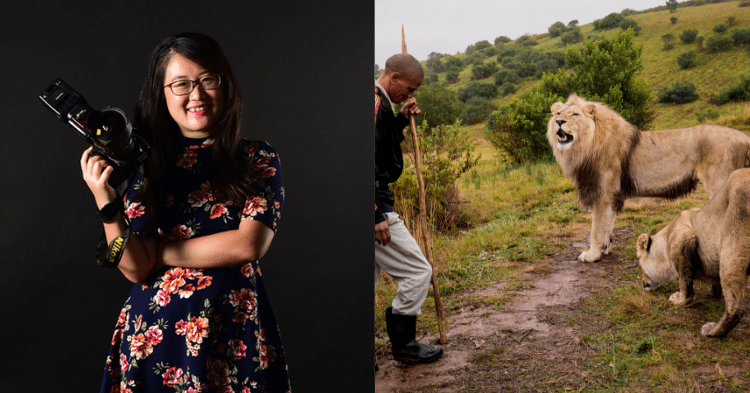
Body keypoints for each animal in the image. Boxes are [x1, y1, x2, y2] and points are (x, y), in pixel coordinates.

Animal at [548, 93, 750, 262]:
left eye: (575, 114)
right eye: (558, 113)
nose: (559, 121)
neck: (585, 146)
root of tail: (744, 137)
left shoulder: (603, 194)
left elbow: (596, 229)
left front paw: (592, 255)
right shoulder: (612, 196)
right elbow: (607, 226)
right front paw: (604, 250)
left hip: (719, 185)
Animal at [636, 168, 750, 336]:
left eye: (640, 266)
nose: (644, 285)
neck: (667, 236)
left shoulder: (683, 239)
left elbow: (685, 282)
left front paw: (679, 299)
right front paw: (714, 292)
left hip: (732, 244)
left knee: (737, 306)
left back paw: (711, 331)